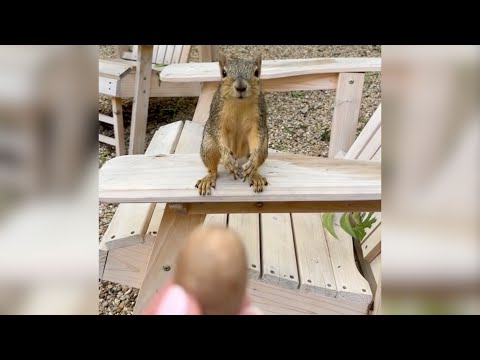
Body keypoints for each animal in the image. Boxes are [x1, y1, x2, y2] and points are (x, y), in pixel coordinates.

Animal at [196, 52, 270, 195]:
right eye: (224, 73)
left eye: (256, 72)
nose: (240, 87)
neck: (239, 103)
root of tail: (237, 154)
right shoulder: (217, 115)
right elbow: (219, 133)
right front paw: (226, 157)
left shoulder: (259, 118)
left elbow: (257, 136)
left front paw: (253, 160)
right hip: (208, 146)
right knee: (212, 167)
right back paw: (209, 178)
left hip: (264, 148)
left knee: (256, 163)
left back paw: (255, 175)